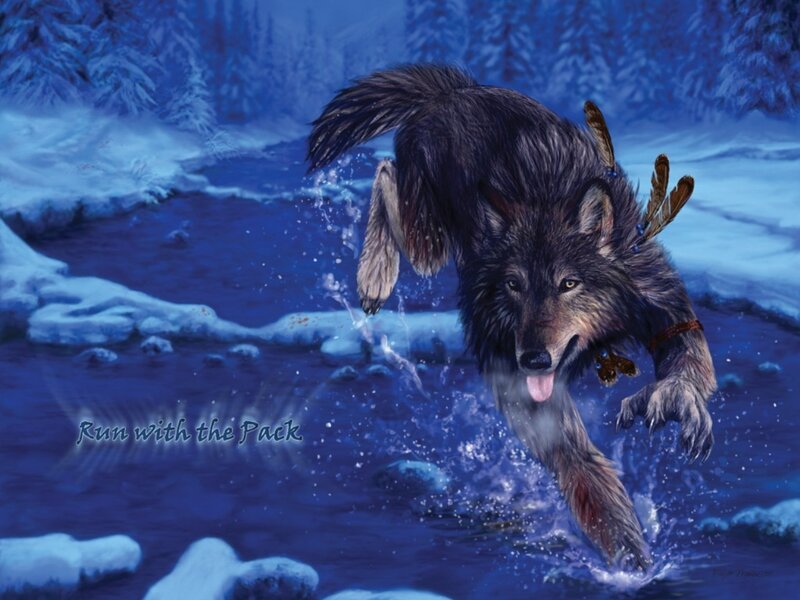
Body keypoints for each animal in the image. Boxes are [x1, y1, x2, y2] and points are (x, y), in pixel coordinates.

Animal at [307, 65, 716, 569]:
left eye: (568, 284)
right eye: (514, 285)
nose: (534, 360)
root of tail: (455, 89)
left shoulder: (658, 296)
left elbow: (689, 351)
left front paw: (676, 396)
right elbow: (581, 465)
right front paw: (628, 557)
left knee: (385, 174)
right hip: (431, 242)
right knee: (385, 176)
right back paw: (374, 277)